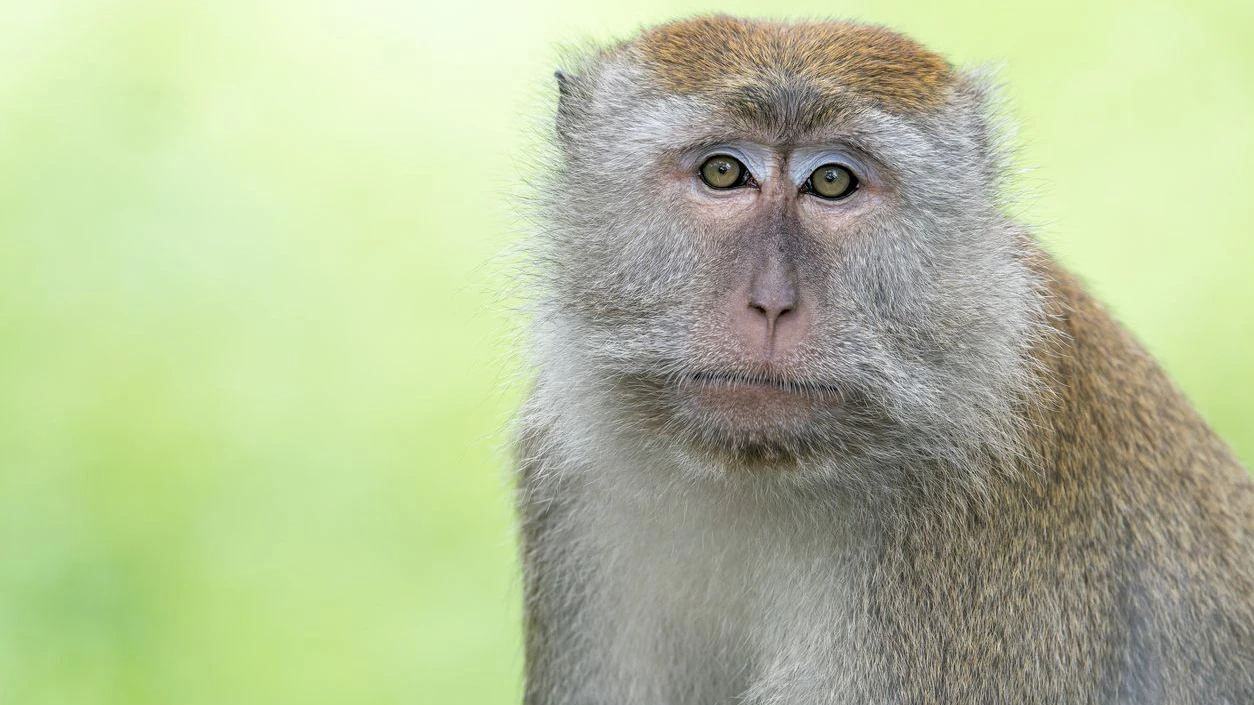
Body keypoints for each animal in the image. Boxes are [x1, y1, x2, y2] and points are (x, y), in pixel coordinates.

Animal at [512, 15, 1254, 705]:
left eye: (832, 181)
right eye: (723, 172)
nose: (772, 303)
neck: (759, 479)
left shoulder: (967, 547)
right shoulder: (574, 490)